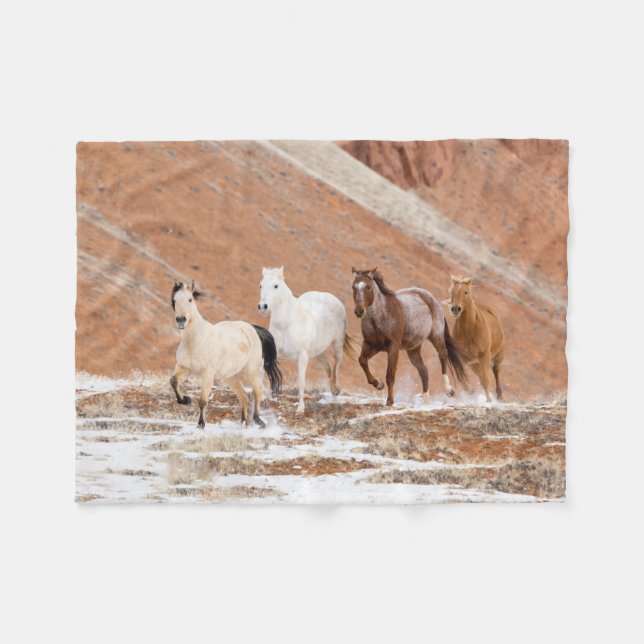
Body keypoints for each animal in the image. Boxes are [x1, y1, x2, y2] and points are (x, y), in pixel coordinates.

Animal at [170, 280, 282, 428]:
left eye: (190, 299)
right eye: (174, 300)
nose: (181, 320)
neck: (194, 341)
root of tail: (252, 328)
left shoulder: (207, 374)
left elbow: (202, 401)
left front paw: (201, 424)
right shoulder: (184, 368)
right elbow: (173, 381)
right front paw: (185, 400)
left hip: (252, 371)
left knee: (257, 392)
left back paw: (258, 420)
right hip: (231, 377)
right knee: (243, 397)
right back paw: (243, 423)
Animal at [257, 266, 359, 414]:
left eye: (276, 286)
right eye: (261, 285)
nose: (262, 307)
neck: (287, 323)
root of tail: (330, 297)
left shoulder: (302, 356)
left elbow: (301, 382)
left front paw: (300, 409)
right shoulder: (274, 353)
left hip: (337, 345)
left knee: (336, 364)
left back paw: (336, 389)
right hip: (318, 352)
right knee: (328, 366)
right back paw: (333, 389)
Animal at [352, 267, 468, 407]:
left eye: (368, 286)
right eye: (353, 287)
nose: (359, 311)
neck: (378, 318)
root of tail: (429, 297)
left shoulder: (393, 348)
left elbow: (390, 375)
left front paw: (390, 401)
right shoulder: (370, 345)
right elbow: (362, 360)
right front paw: (379, 384)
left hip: (436, 336)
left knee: (443, 355)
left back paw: (448, 390)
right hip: (413, 348)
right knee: (424, 371)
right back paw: (426, 403)